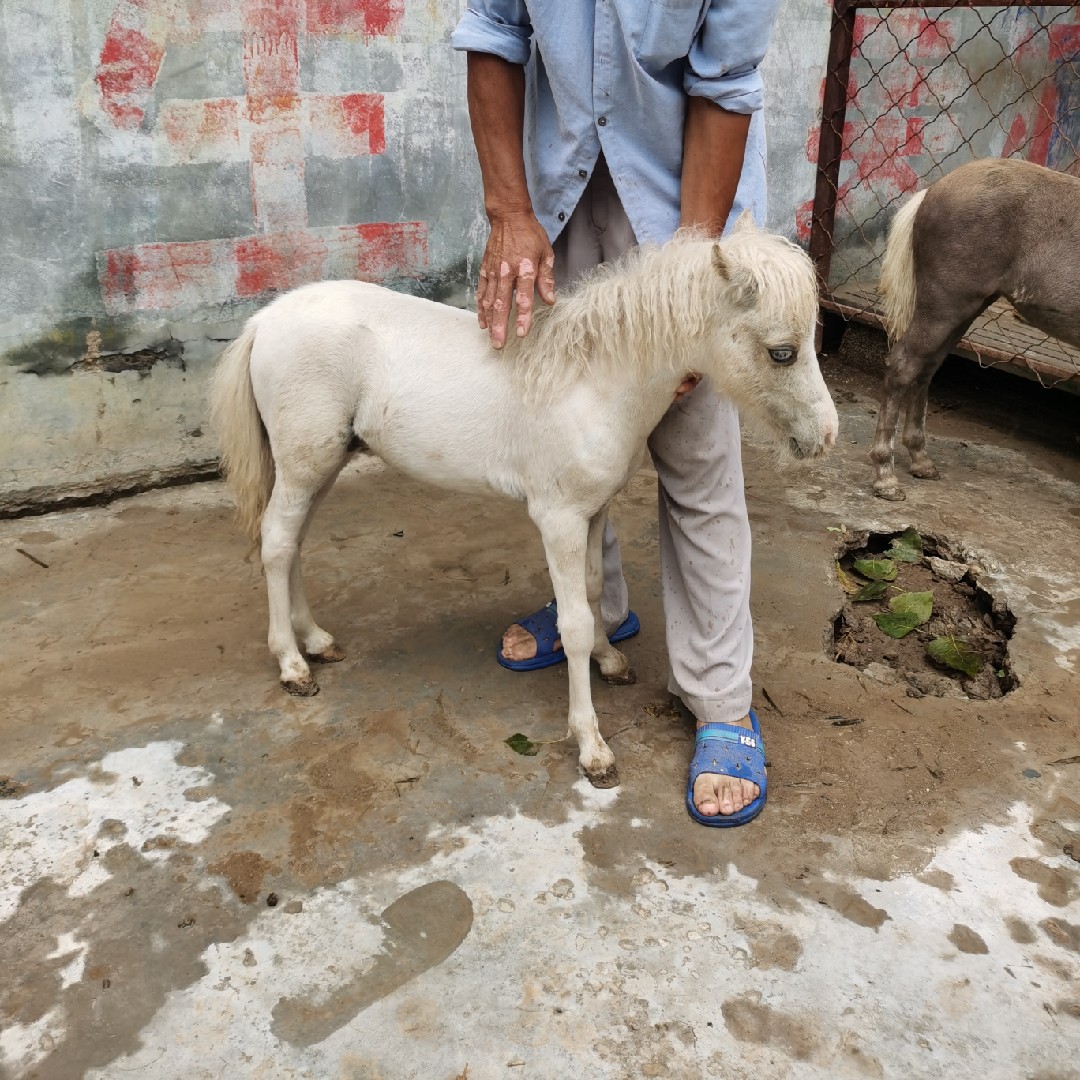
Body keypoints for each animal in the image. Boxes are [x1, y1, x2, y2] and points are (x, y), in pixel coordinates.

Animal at [208, 217, 833, 786]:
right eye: (782, 352)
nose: (824, 438)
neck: (591, 381)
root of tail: (264, 320)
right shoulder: (557, 519)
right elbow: (573, 623)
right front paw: (592, 746)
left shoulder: (593, 510)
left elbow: (592, 591)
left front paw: (610, 660)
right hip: (304, 463)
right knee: (277, 543)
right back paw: (292, 664)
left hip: (323, 464)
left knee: (292, 543)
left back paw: (316, 641)